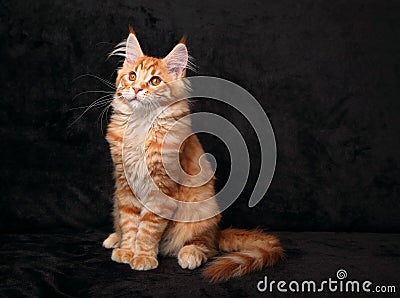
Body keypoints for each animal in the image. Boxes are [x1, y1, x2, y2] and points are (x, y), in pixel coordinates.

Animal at [103, 28, 284, 282]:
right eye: (131, 76)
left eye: (155, 81)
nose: (137, 89)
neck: (142, 125)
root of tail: (217, 232)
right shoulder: (125, 186)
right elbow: (129, 223)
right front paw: (127, 250)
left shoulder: (162, 188)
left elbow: (147, 229)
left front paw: (143, 257)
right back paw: (114, 239)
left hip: (201, 210)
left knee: (207, 246)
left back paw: (190, 255)